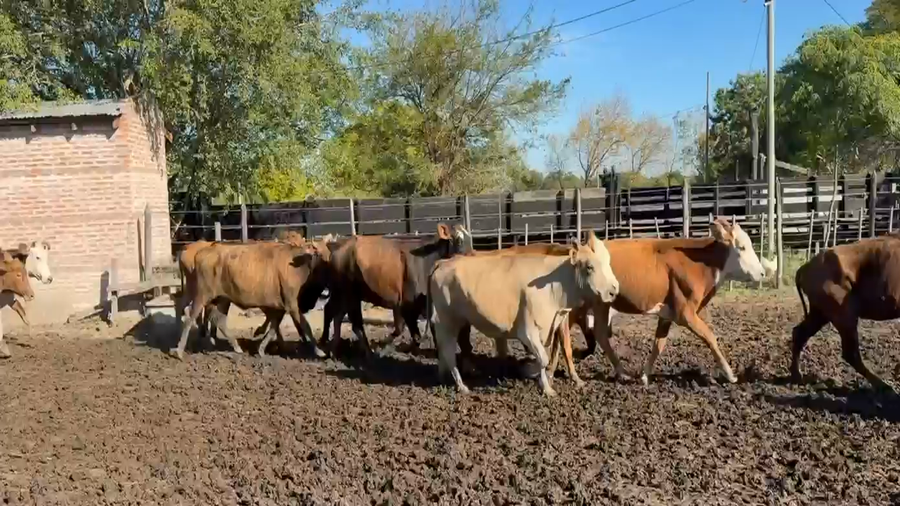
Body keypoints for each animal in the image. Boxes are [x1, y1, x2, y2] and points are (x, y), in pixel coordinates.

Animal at [172, 240, 325, 360]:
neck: (297, 265)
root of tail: (201, 252)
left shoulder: (280, 307)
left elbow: (274, 327)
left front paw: (262, 348)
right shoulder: (291, 304)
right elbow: (305, 325)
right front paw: (319, 351)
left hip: (221, 299)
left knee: (217, 319)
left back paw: (235, 347)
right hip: (201, 295)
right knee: (190, 317)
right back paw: (179, 350)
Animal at [316, 224, 469, 360]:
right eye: (459, 240)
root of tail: (338, 250)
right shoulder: (406, 305)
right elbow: (411, 333)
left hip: (343, 294)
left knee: (335, 314)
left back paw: (333, 350)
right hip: (348, 293)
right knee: (353, 322)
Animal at [428, 230, 619, 396]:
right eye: (589, 267)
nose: (613, 290)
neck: (556, 282)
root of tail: (443, 263)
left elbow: (546, 356)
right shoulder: (528, 331)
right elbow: (543, 359)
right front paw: (546, 388)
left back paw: (443, 377)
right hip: (447, 321)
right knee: (448, 352)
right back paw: (461, 386)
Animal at [790, 235, 900, 393]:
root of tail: (805, 267)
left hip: (820, 314)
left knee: (799, 333)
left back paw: (797, 376)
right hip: (844, 315)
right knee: (851, 352)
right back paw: (884, 386)